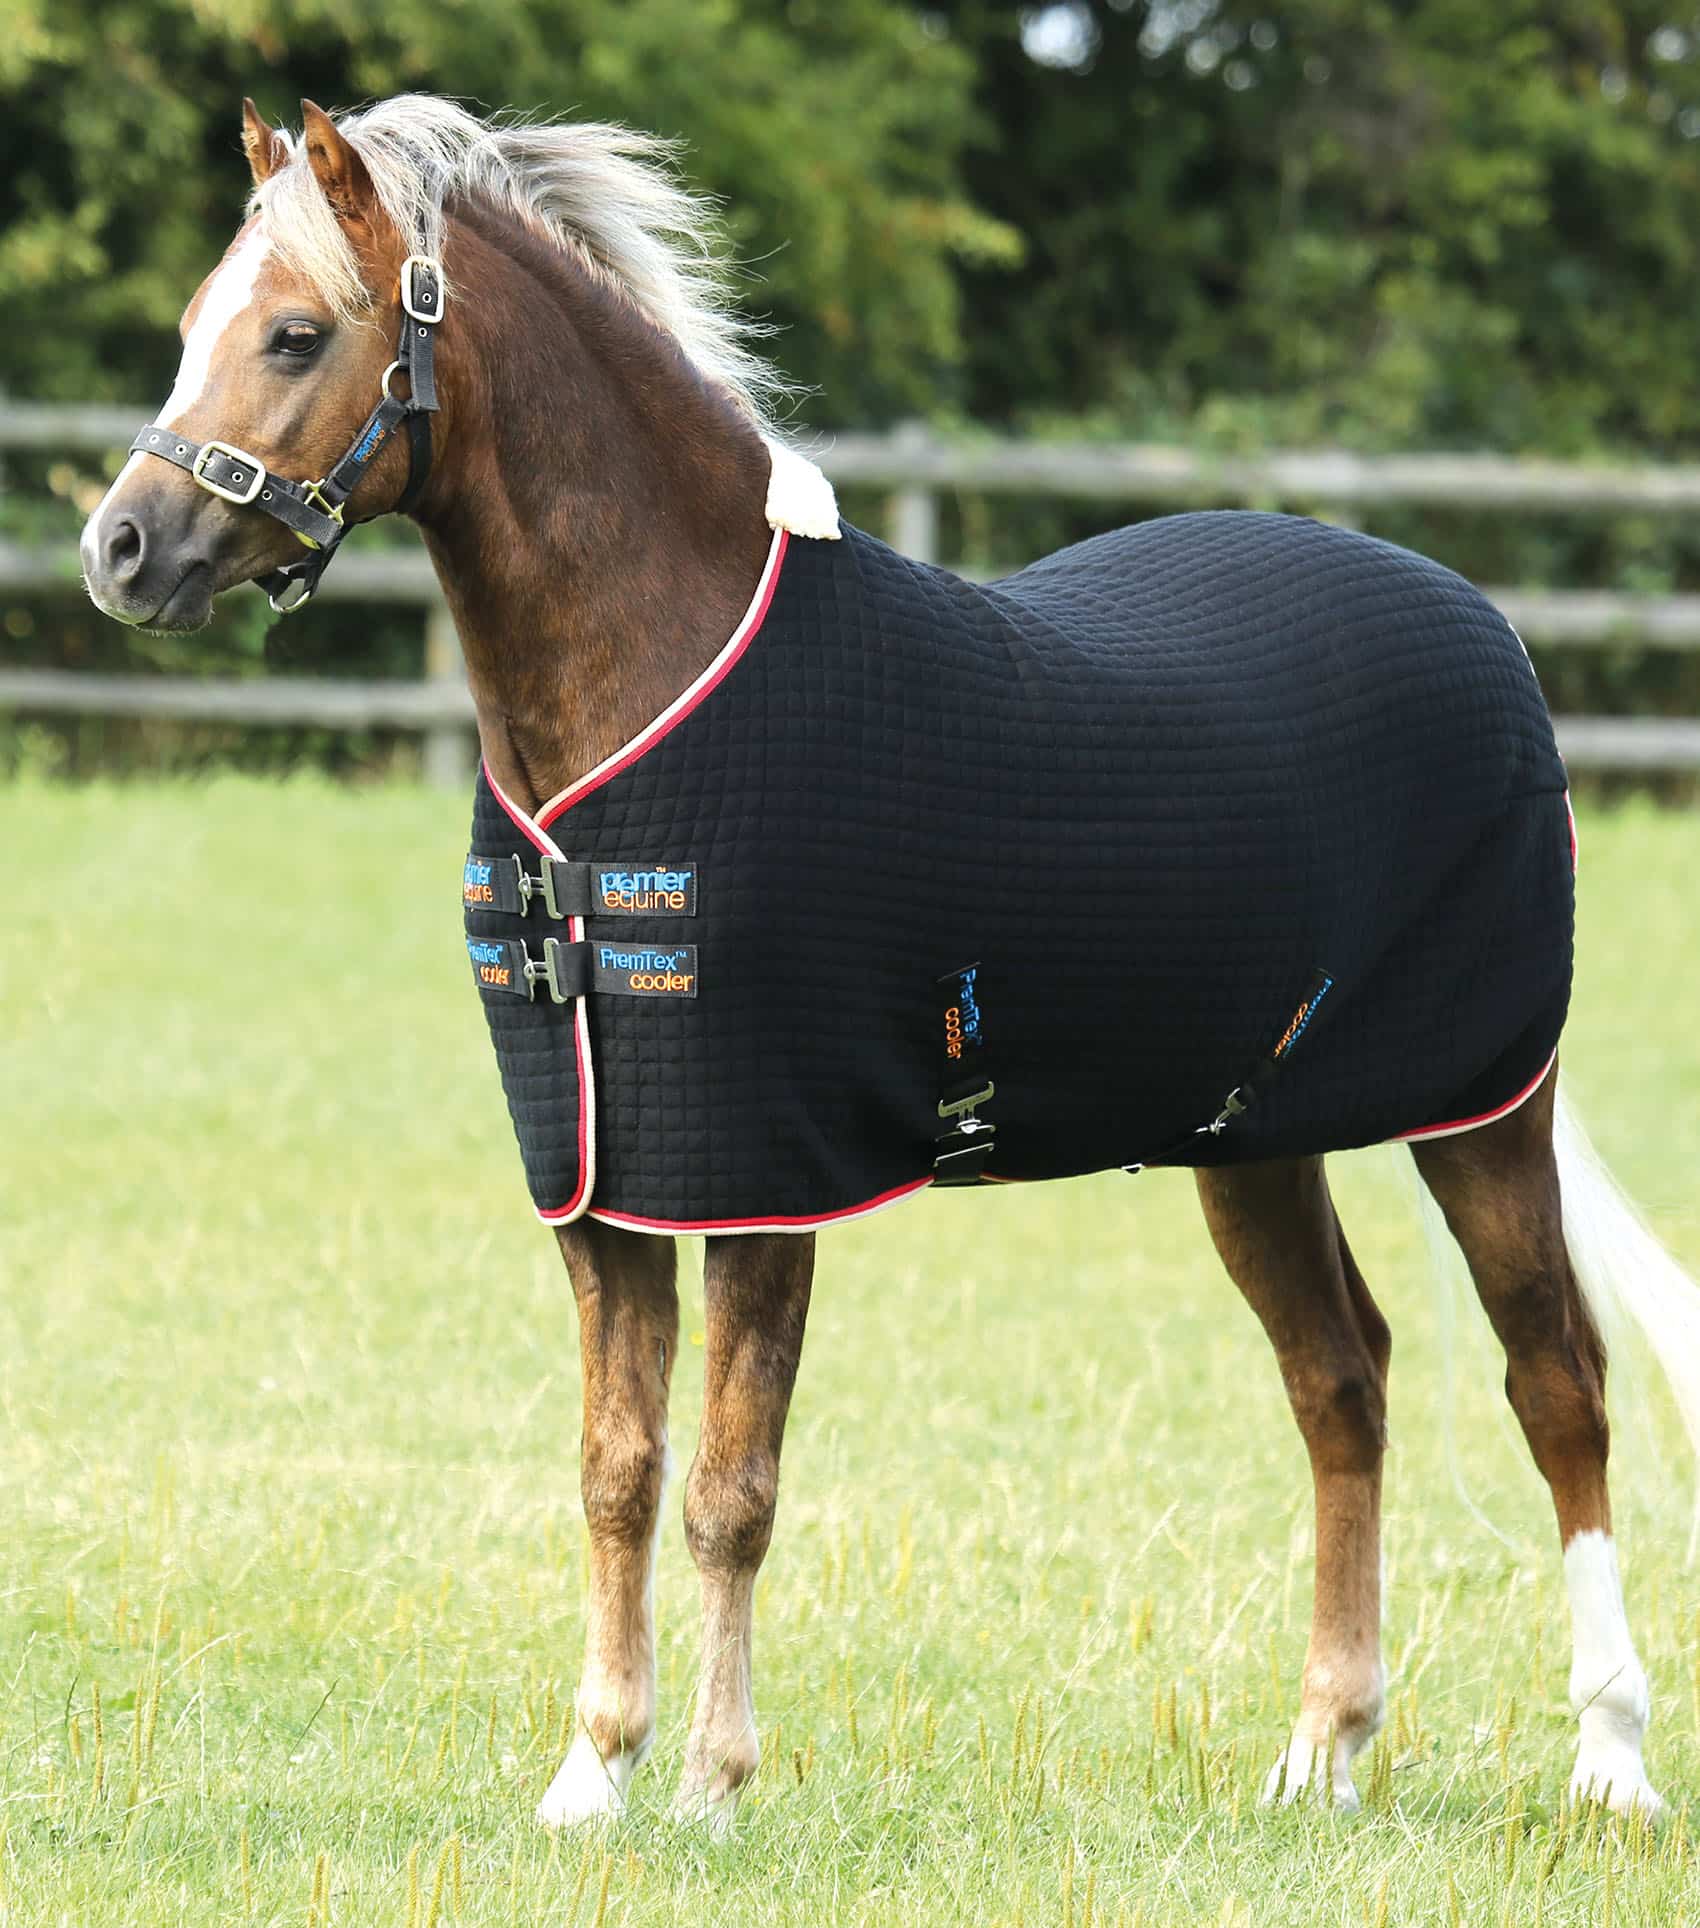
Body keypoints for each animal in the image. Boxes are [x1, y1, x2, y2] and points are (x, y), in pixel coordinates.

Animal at [80, 93, 1700, 1832]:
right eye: (195, 325)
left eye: (298, 333)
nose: (121, 549)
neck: (663, 675)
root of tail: (1484, 627)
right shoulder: (603, 1183)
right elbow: (614, 1471)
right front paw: (591, 1777)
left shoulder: (764, 1178)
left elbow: (729, 1487)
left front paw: (713, 1789)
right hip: (1251, 1142)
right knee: (1343, 1381)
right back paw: (1321, 1751)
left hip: (1486, 1112)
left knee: (1558, 1384)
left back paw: (1610, 1757)